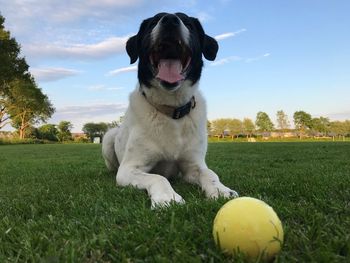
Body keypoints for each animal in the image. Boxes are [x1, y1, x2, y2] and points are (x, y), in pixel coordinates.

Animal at [101, 12, 238, 209]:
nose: (170, 20)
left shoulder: (193, 165)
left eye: (188, 23)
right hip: (108, 138)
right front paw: (168, 197)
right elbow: (158, 177)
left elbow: (210, 174)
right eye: (152, 23)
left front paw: (221, 190)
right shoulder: (128, 169)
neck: (171, 110)